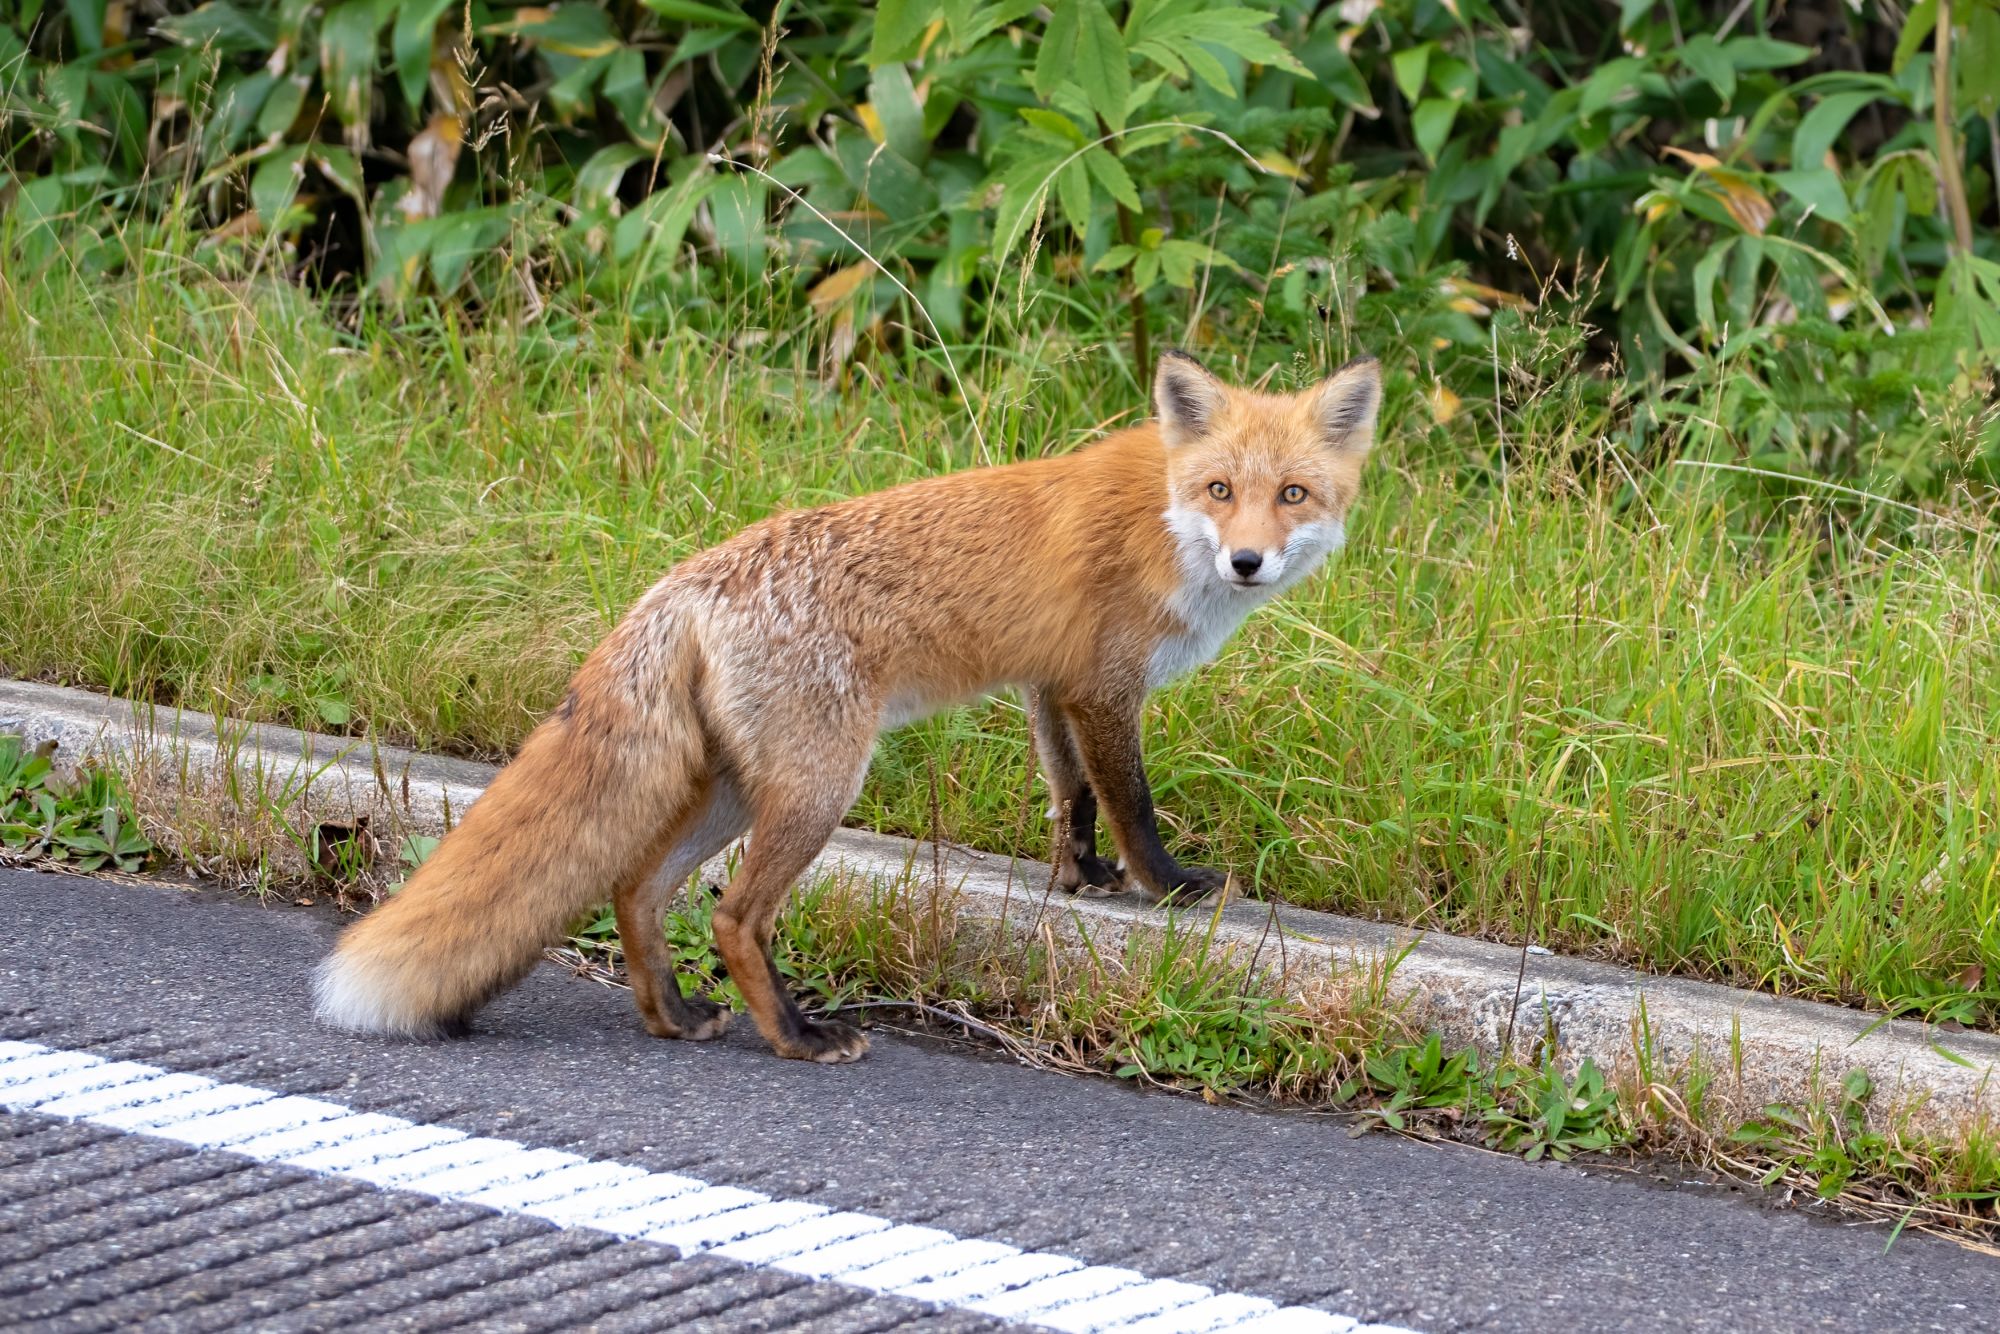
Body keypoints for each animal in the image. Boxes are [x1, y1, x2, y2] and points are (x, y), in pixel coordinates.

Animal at [314, 350, 1382, 1064]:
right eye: (1221, 490)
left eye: (1292, 494)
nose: (1248, 560)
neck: (1164, 516)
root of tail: (684, 583)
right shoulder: (1104, 687)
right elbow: (1131, 804)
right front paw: (1165, 888)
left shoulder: (1052, 685)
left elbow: (1068, 797)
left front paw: (1077, 878)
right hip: (820, 787)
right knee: (734, 915)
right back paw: (793, 1034)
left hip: (739, 790)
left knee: (639, 890)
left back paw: (676, 1016)